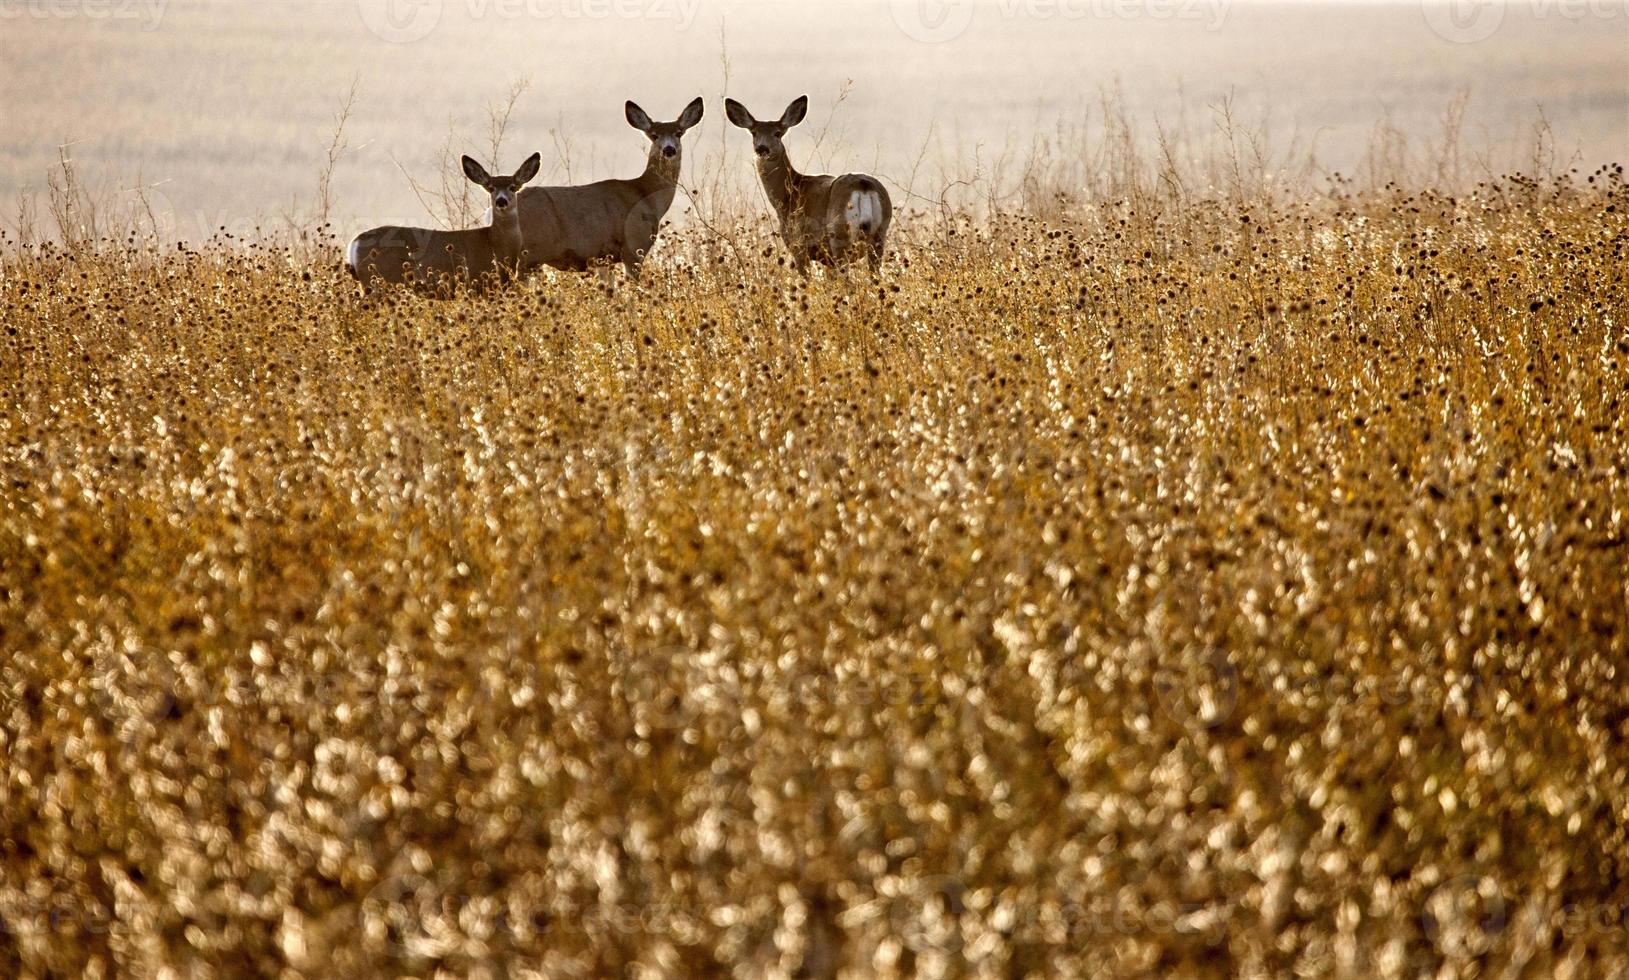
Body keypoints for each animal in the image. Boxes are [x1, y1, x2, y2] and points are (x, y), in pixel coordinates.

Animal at [346, 150, 544, 296]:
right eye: (491, 188)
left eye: (512, 187)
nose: (501, 201)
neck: (495, 244)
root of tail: (354, 243)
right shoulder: (479, 282)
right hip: (378, 282)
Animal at [504, 97, 703, 278]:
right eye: (654, 135)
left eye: (678, 133)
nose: (669, 150)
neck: (645, 195)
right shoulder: (633, 245)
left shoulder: (604, 258)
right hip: (530, 252)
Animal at [726, 95, 892, 273]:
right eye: (754, 133)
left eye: (778, 133)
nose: (762, 148)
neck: (789, 194)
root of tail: (864, 186)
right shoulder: (827, 259)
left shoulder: (798, 245)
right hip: (879, 234)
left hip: (839, 234)